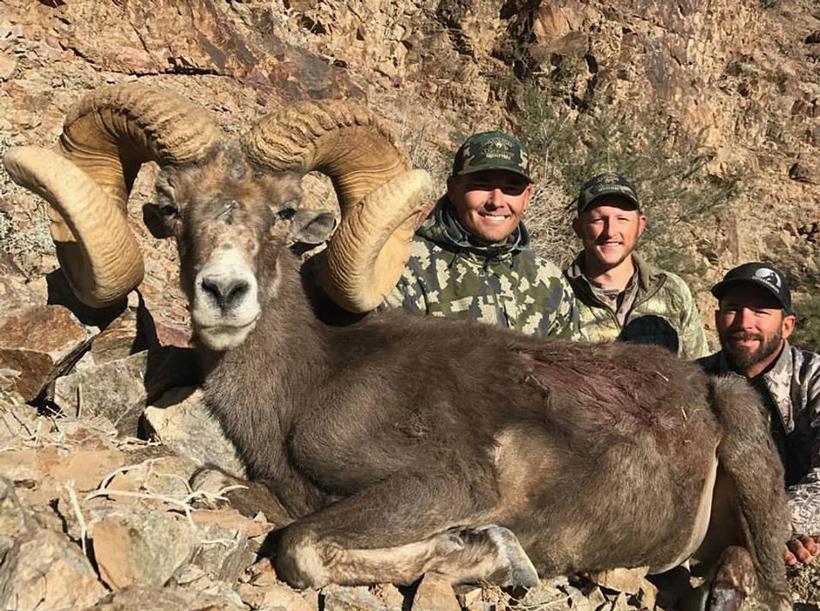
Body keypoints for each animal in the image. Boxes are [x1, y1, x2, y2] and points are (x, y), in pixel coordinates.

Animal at [3, 84, 791, 611]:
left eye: (283, 213)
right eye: (173, 212)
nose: (223, 292)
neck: (310, 383)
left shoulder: (439, 486)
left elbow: (303, 546)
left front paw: (489, 555)